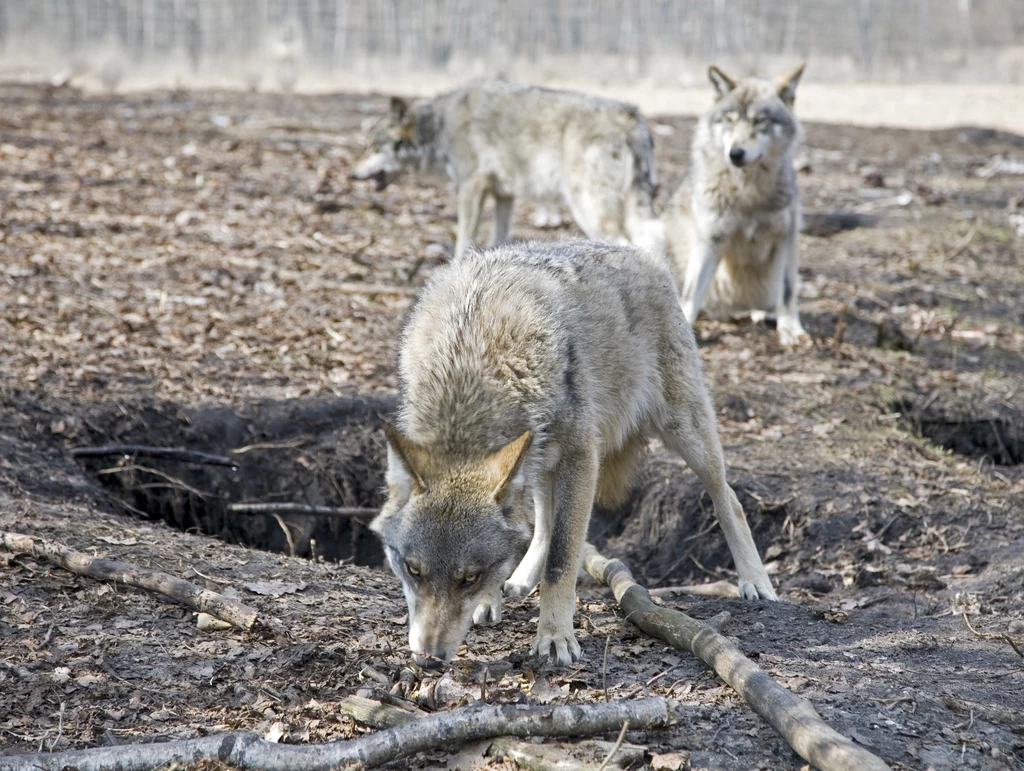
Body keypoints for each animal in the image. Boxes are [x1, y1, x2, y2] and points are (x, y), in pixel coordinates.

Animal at [348, 80, 663, 257]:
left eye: (374, 147)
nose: (351, 174)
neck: (441, 128)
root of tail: (633, 118)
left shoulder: (471, 187)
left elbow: (464, 240)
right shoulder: (504, 196)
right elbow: (497, 239)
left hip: (588, 210)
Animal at [368, 239, 774, 667]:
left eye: (468, 578)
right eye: (413, 570)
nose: (428, 658)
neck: (473, 369)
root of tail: (639, 253)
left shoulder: (583, 456)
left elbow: (562, 560)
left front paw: (554, 637)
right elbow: (532, 536)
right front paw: (493, 599)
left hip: (685, 435)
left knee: (728, 498)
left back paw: (755, 581)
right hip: (542, 462)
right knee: (542, 523)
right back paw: (521, 579)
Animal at [659, 63, 811, 346]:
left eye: (759, 121)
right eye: (730, 120)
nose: (735, 153)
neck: (747, 194)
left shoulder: (786, 237)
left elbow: (787, 292)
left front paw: (790, 330)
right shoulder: (710, 241)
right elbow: (690, 294)